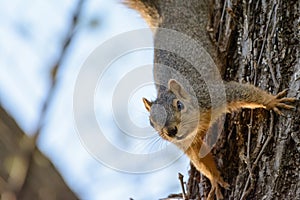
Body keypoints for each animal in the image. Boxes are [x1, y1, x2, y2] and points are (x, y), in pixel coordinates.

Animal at [125, 0, 296, 200]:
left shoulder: (212, 94)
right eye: (151, 122)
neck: (199, 122)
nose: (170, 131)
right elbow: (200, 159)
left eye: (179, 105)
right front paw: (215, 180)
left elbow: (246, 92)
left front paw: (272, 101)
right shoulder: (187, 143)